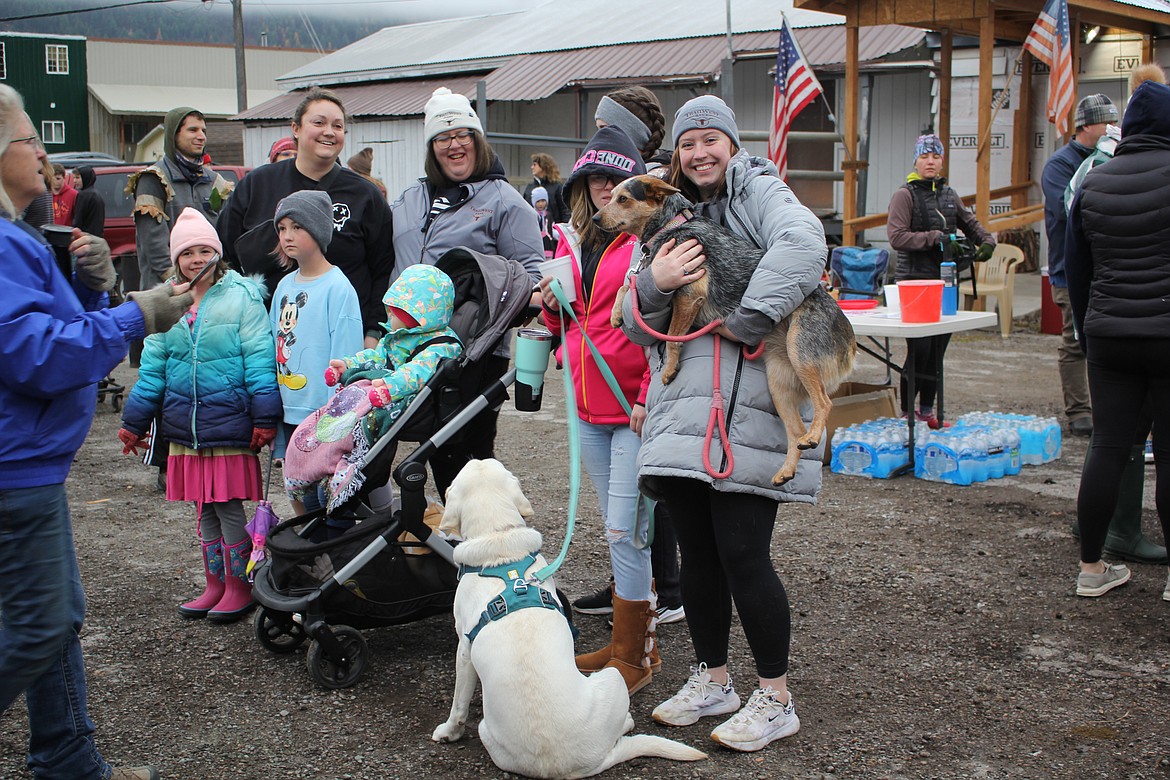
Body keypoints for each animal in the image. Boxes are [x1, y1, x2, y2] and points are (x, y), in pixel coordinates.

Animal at [430, 460, 702, 776]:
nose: (477, 458)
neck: (499, 541)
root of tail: (568, 765)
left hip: (612, 676)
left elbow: (458, 703)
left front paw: (449, 732)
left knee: (627, 722)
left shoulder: (464, 649)